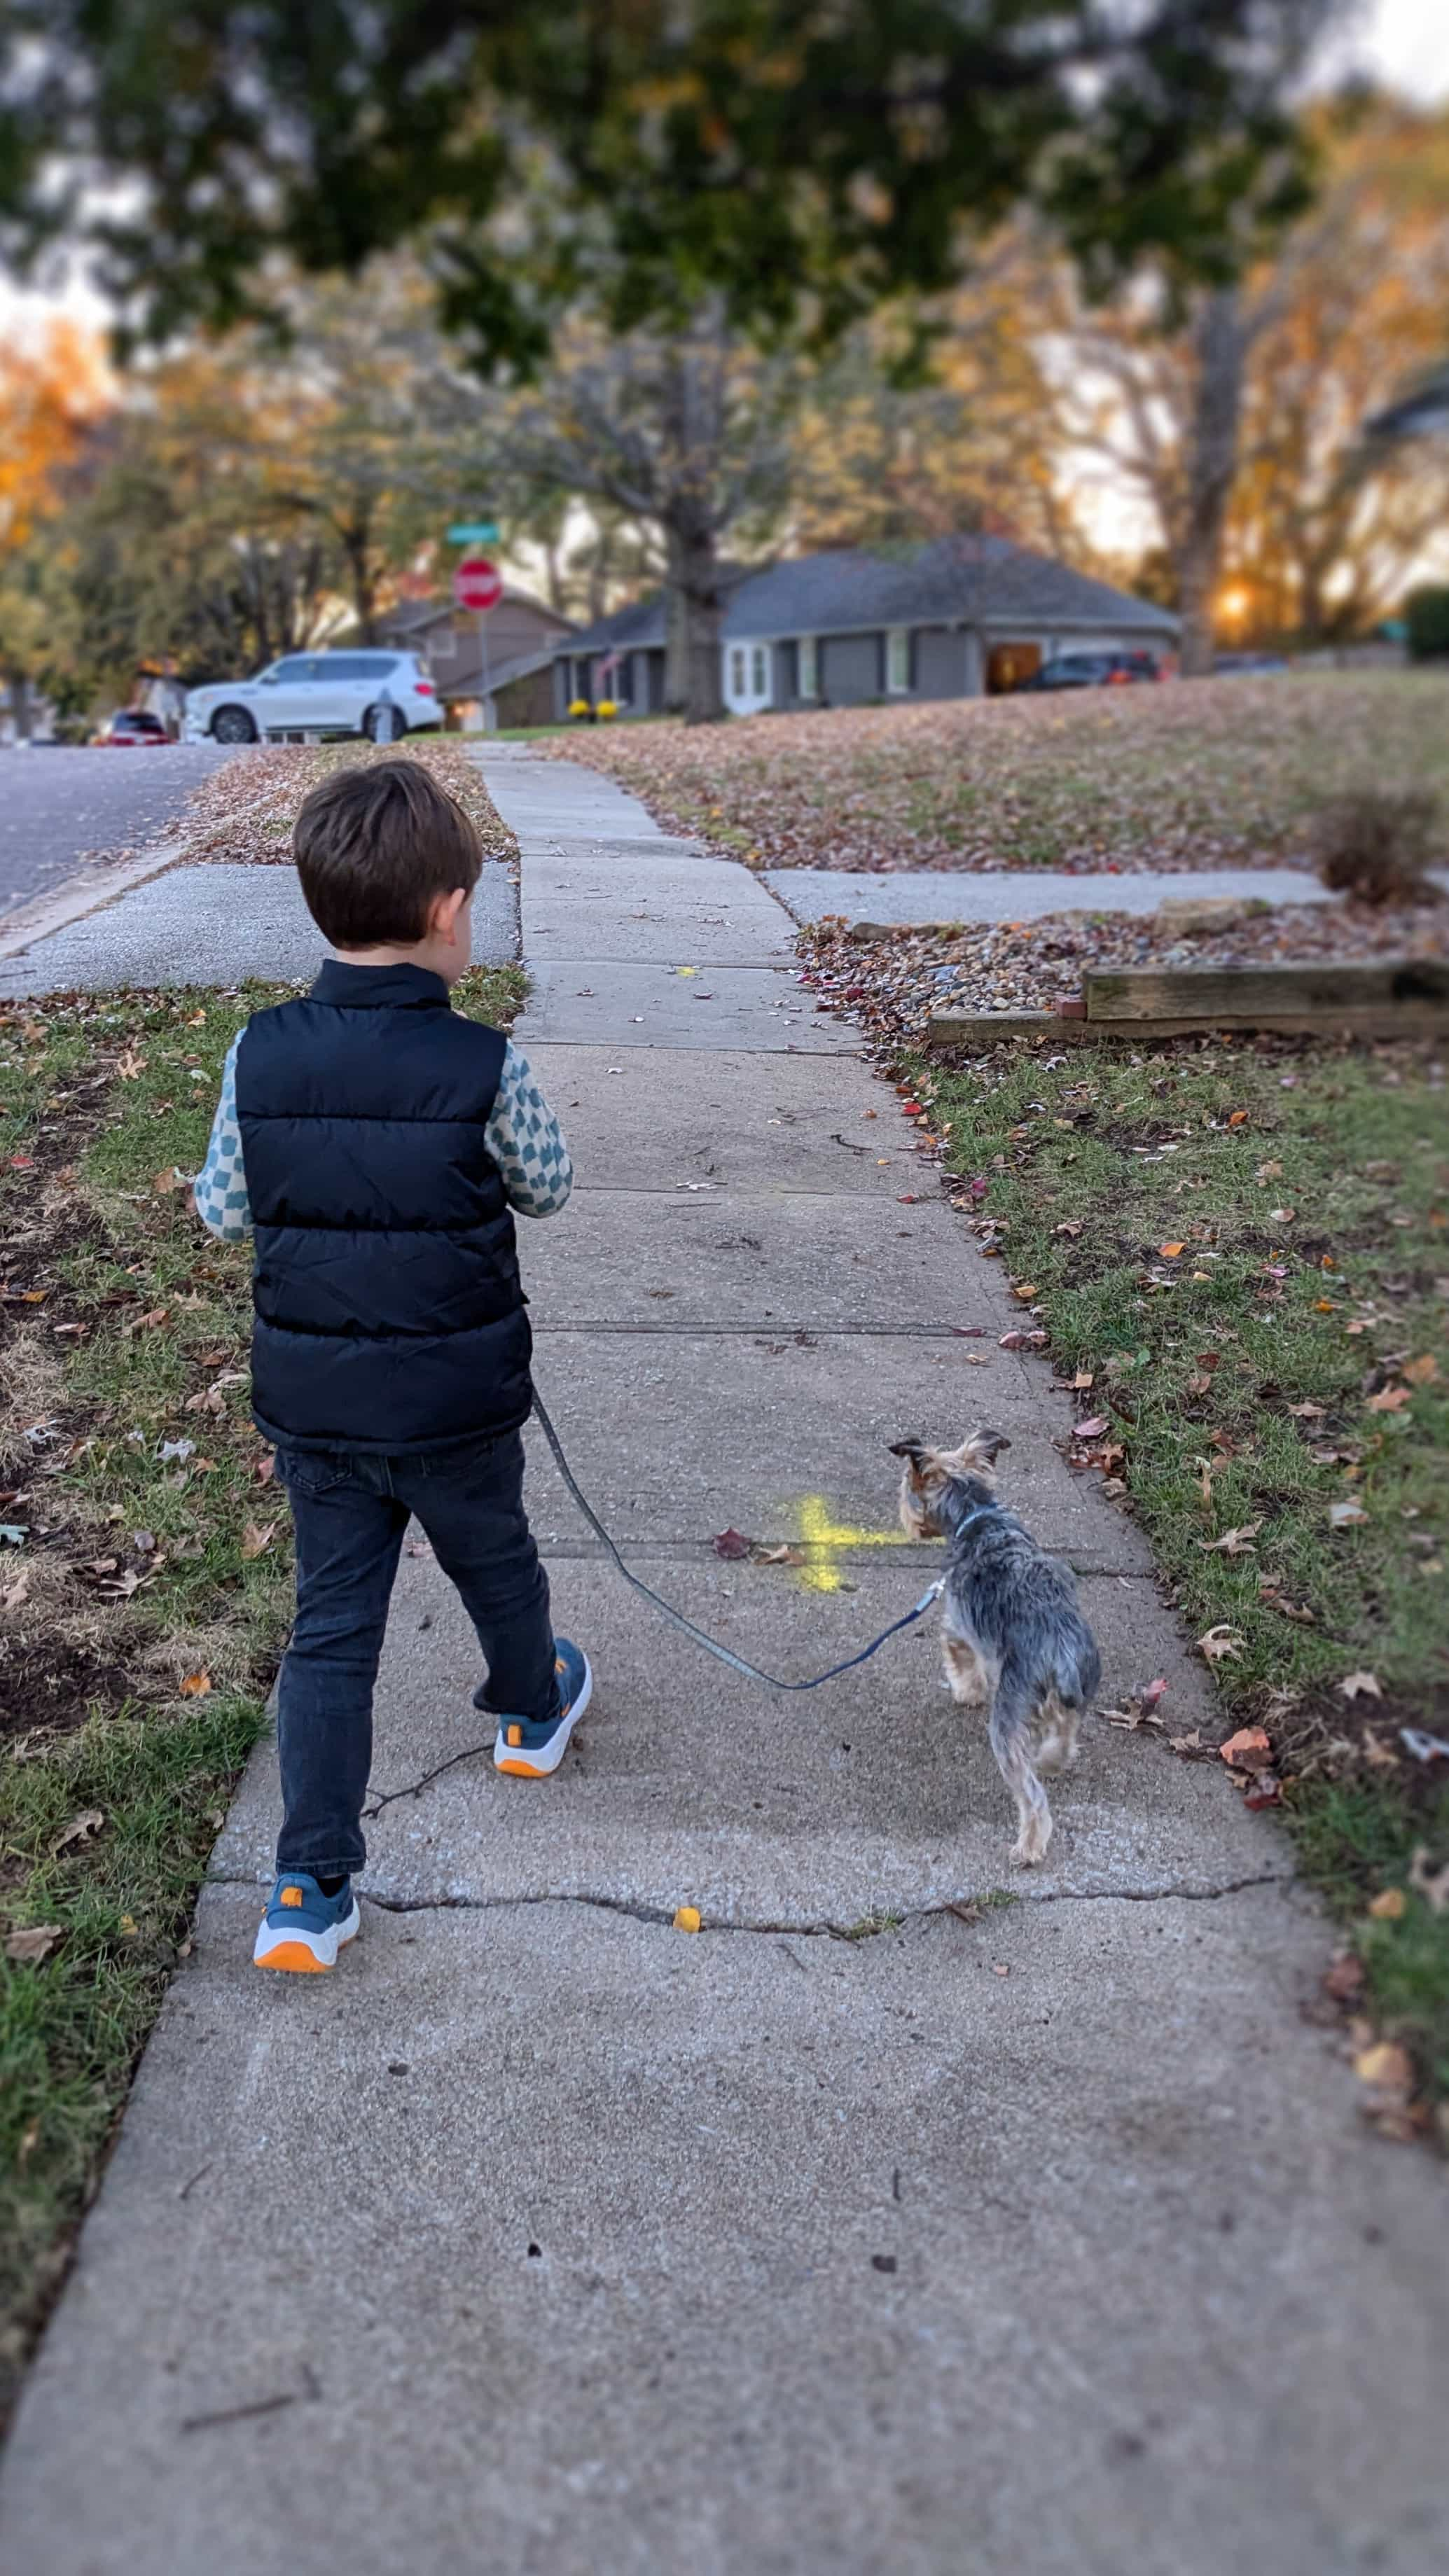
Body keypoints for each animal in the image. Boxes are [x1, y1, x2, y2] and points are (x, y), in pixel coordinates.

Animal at [887, 1432, 1098, 1875]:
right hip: (1078, 1691)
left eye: (907, 1491)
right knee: (1065, 1739)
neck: (976, 1514)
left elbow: (962, 1662)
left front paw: (968, 1694)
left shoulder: (958, 1627)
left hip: (1009, 1717)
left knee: (1032, 1796)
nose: (908, 1521)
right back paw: (1051, 1761)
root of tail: (1060, 1654)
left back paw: (1028, 1848)